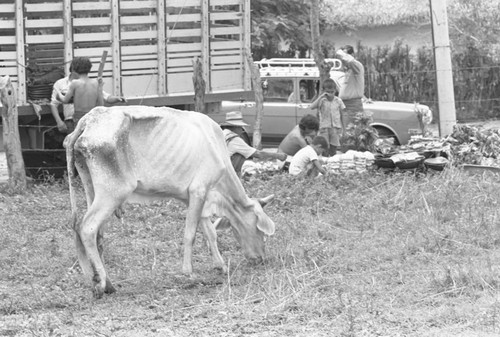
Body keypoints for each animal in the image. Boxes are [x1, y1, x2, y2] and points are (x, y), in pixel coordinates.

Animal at [64, 105, 276, 296]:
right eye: (259, 229)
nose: (262, 258)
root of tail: (89, 119)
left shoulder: (196, 198)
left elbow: (210, 233)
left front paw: (220, 265)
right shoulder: (199, 190)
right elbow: (190, 234)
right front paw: (188, 273)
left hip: (91, 187)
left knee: (92, 233)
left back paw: (104, 282)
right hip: (113, 192)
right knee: (87, 227)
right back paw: (99, 284)